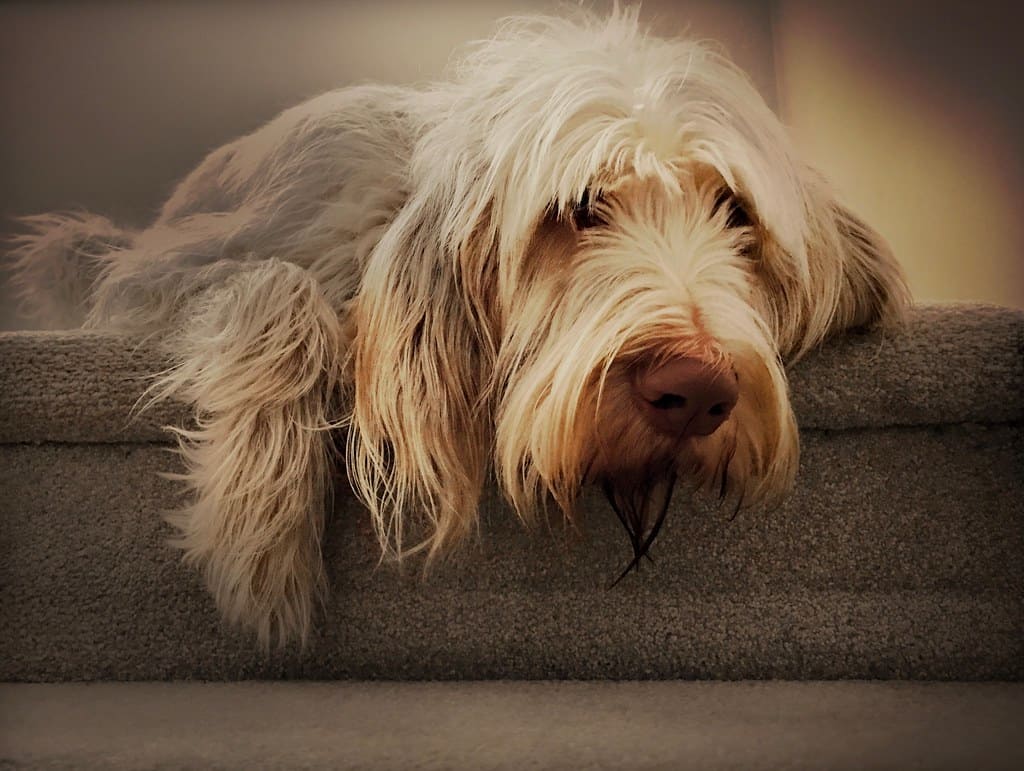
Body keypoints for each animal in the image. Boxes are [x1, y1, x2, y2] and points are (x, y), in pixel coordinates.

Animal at [9, 9, 913, 647]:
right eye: (580, 207)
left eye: (734, 211)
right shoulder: (149, 280)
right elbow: (281, 288)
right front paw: (259, 531)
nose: (692, 391)